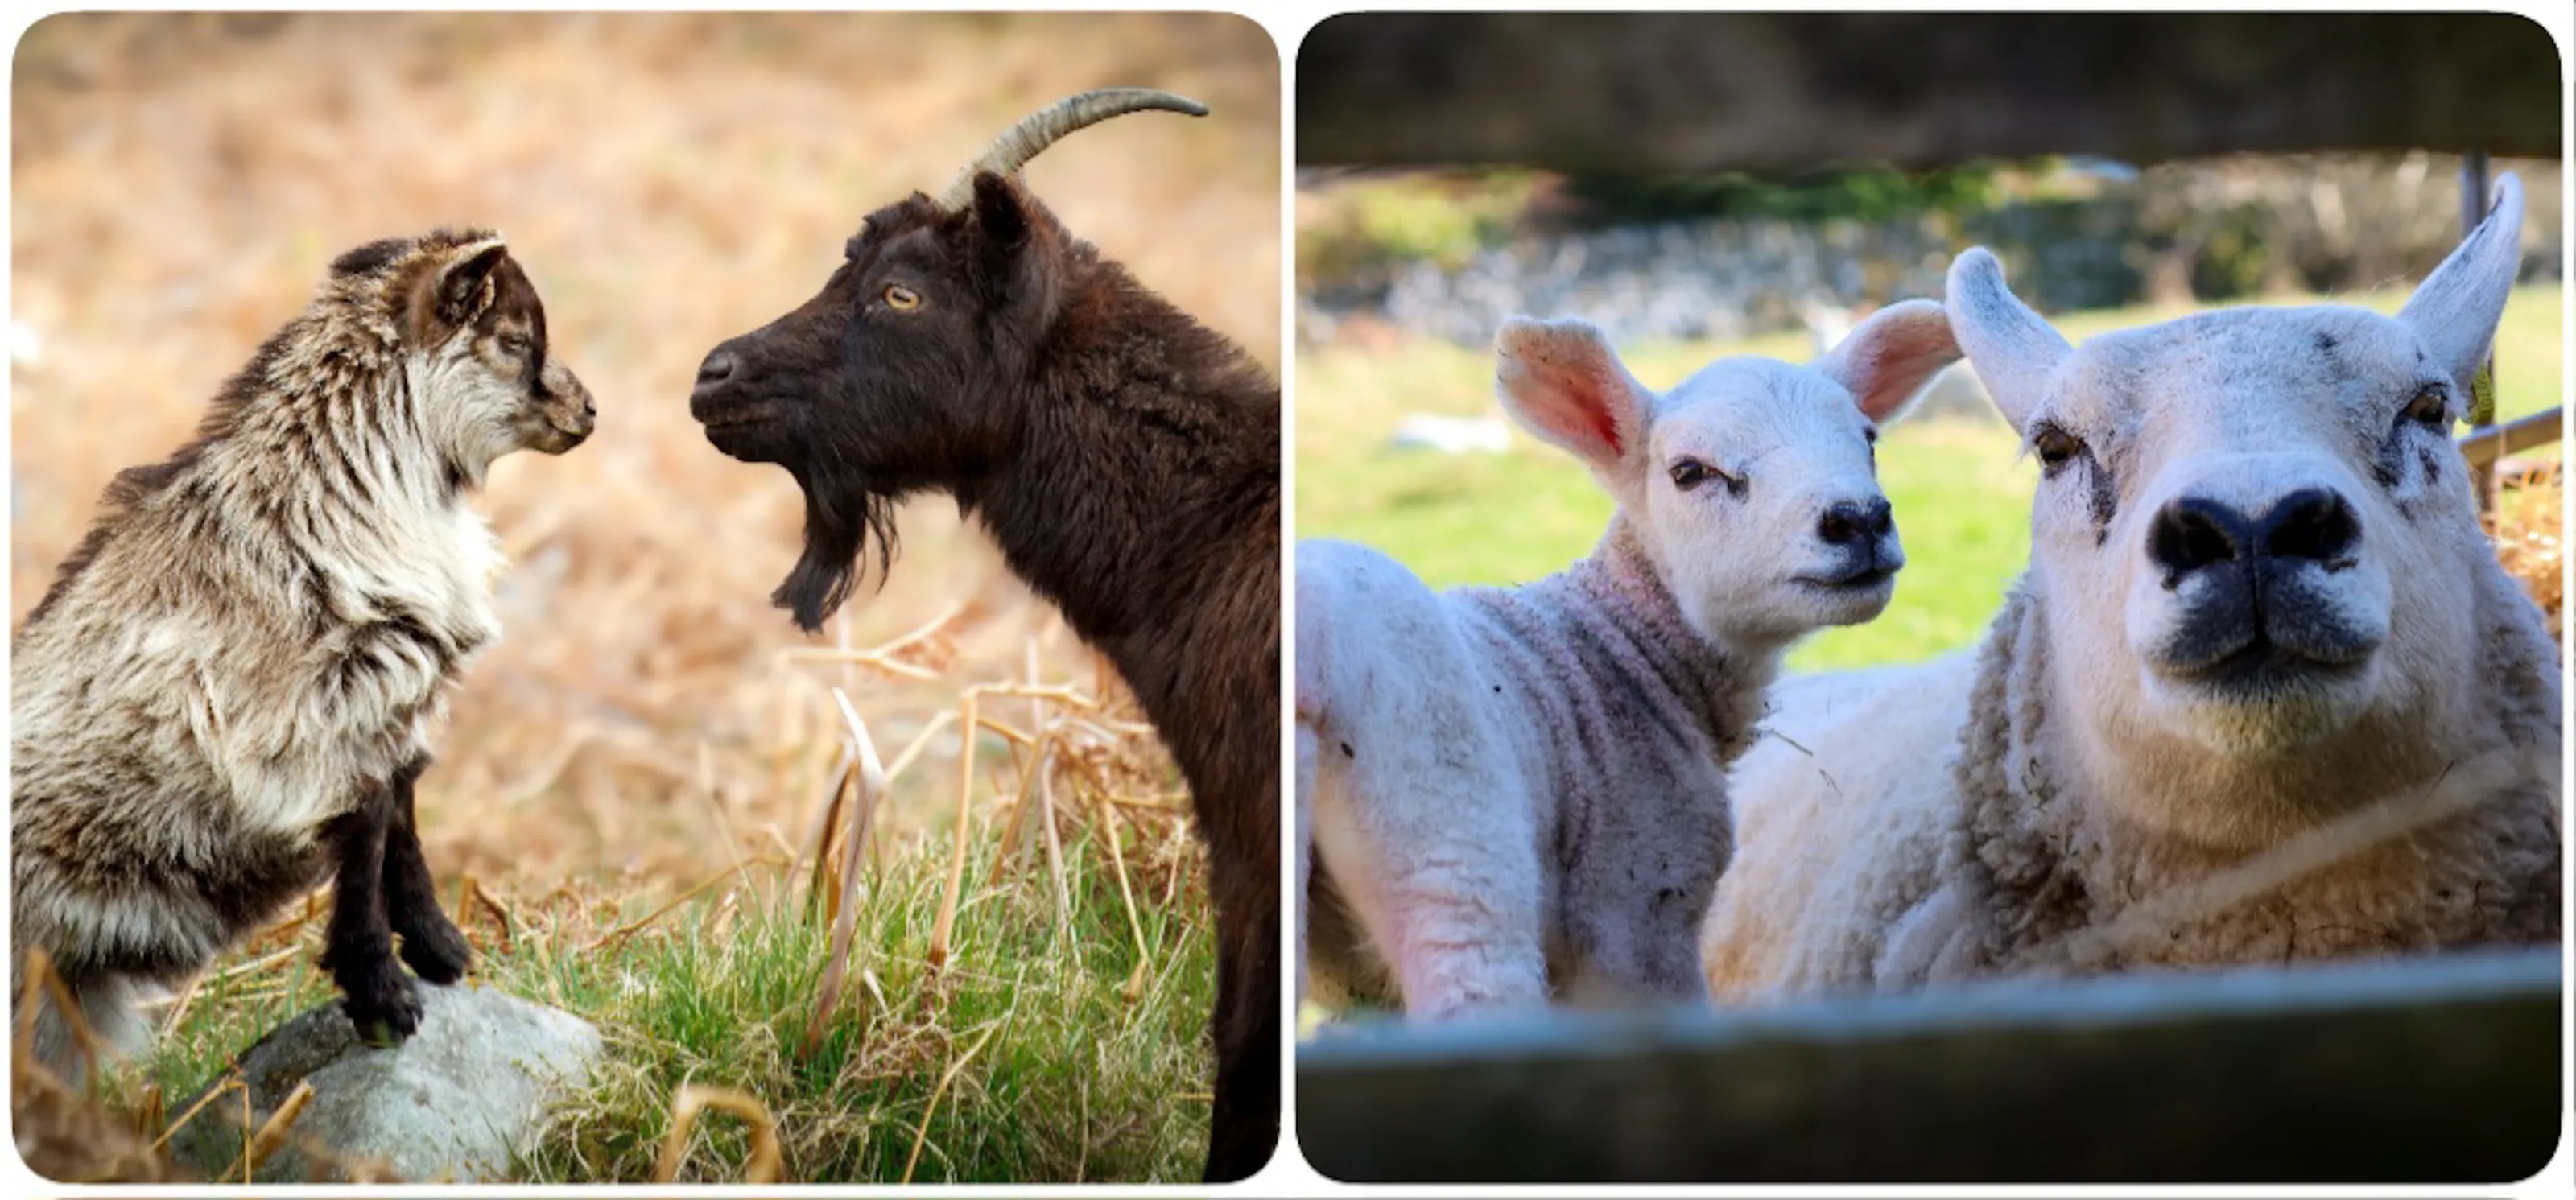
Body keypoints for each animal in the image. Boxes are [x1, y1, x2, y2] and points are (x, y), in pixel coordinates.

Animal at [11, 229, 596, 1078]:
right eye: (515, 340)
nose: (587, 411)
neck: (339, 492)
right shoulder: (310, 725)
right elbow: (369, 824)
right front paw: (382, 992)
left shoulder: (388, 704)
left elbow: (402, 808)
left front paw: (438, 949)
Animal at [1296, 303, 1961, 1017]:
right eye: (1690, 472)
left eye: (1869, 440)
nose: (1859, 520)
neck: (1613, 648)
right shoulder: (1635, 902)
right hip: (1443, 826)